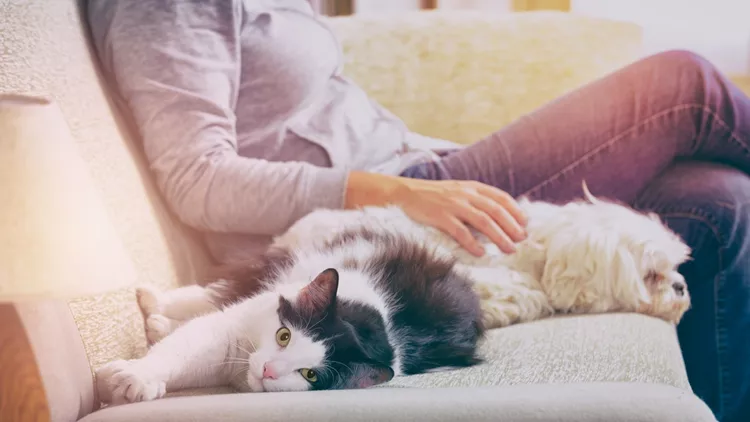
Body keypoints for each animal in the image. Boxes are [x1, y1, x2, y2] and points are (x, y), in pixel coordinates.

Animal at [134, 183, 692, 344]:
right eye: (652, 276)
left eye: (677, 270)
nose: (683, 288)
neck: (547, 246)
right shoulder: (504, 282)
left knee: (214, 295)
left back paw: (156, 309)